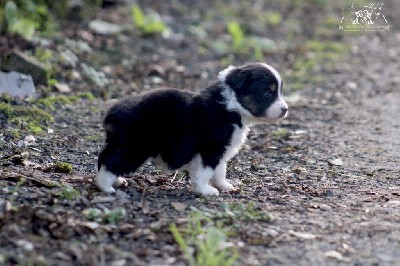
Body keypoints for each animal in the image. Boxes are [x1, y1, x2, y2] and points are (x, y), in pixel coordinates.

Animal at [97, 62, 290, 195]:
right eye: (267, 92)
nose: (285, 109)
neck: (232, 106)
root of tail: (112, 113)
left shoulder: (221, 151)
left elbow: (220, 171)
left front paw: (225, 186)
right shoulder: (210, 149)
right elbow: (205, 172)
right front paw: (205, 191)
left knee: (104, 158)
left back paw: (116, 181)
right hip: (135, 148)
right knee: (111, 163)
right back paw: (105, 187)